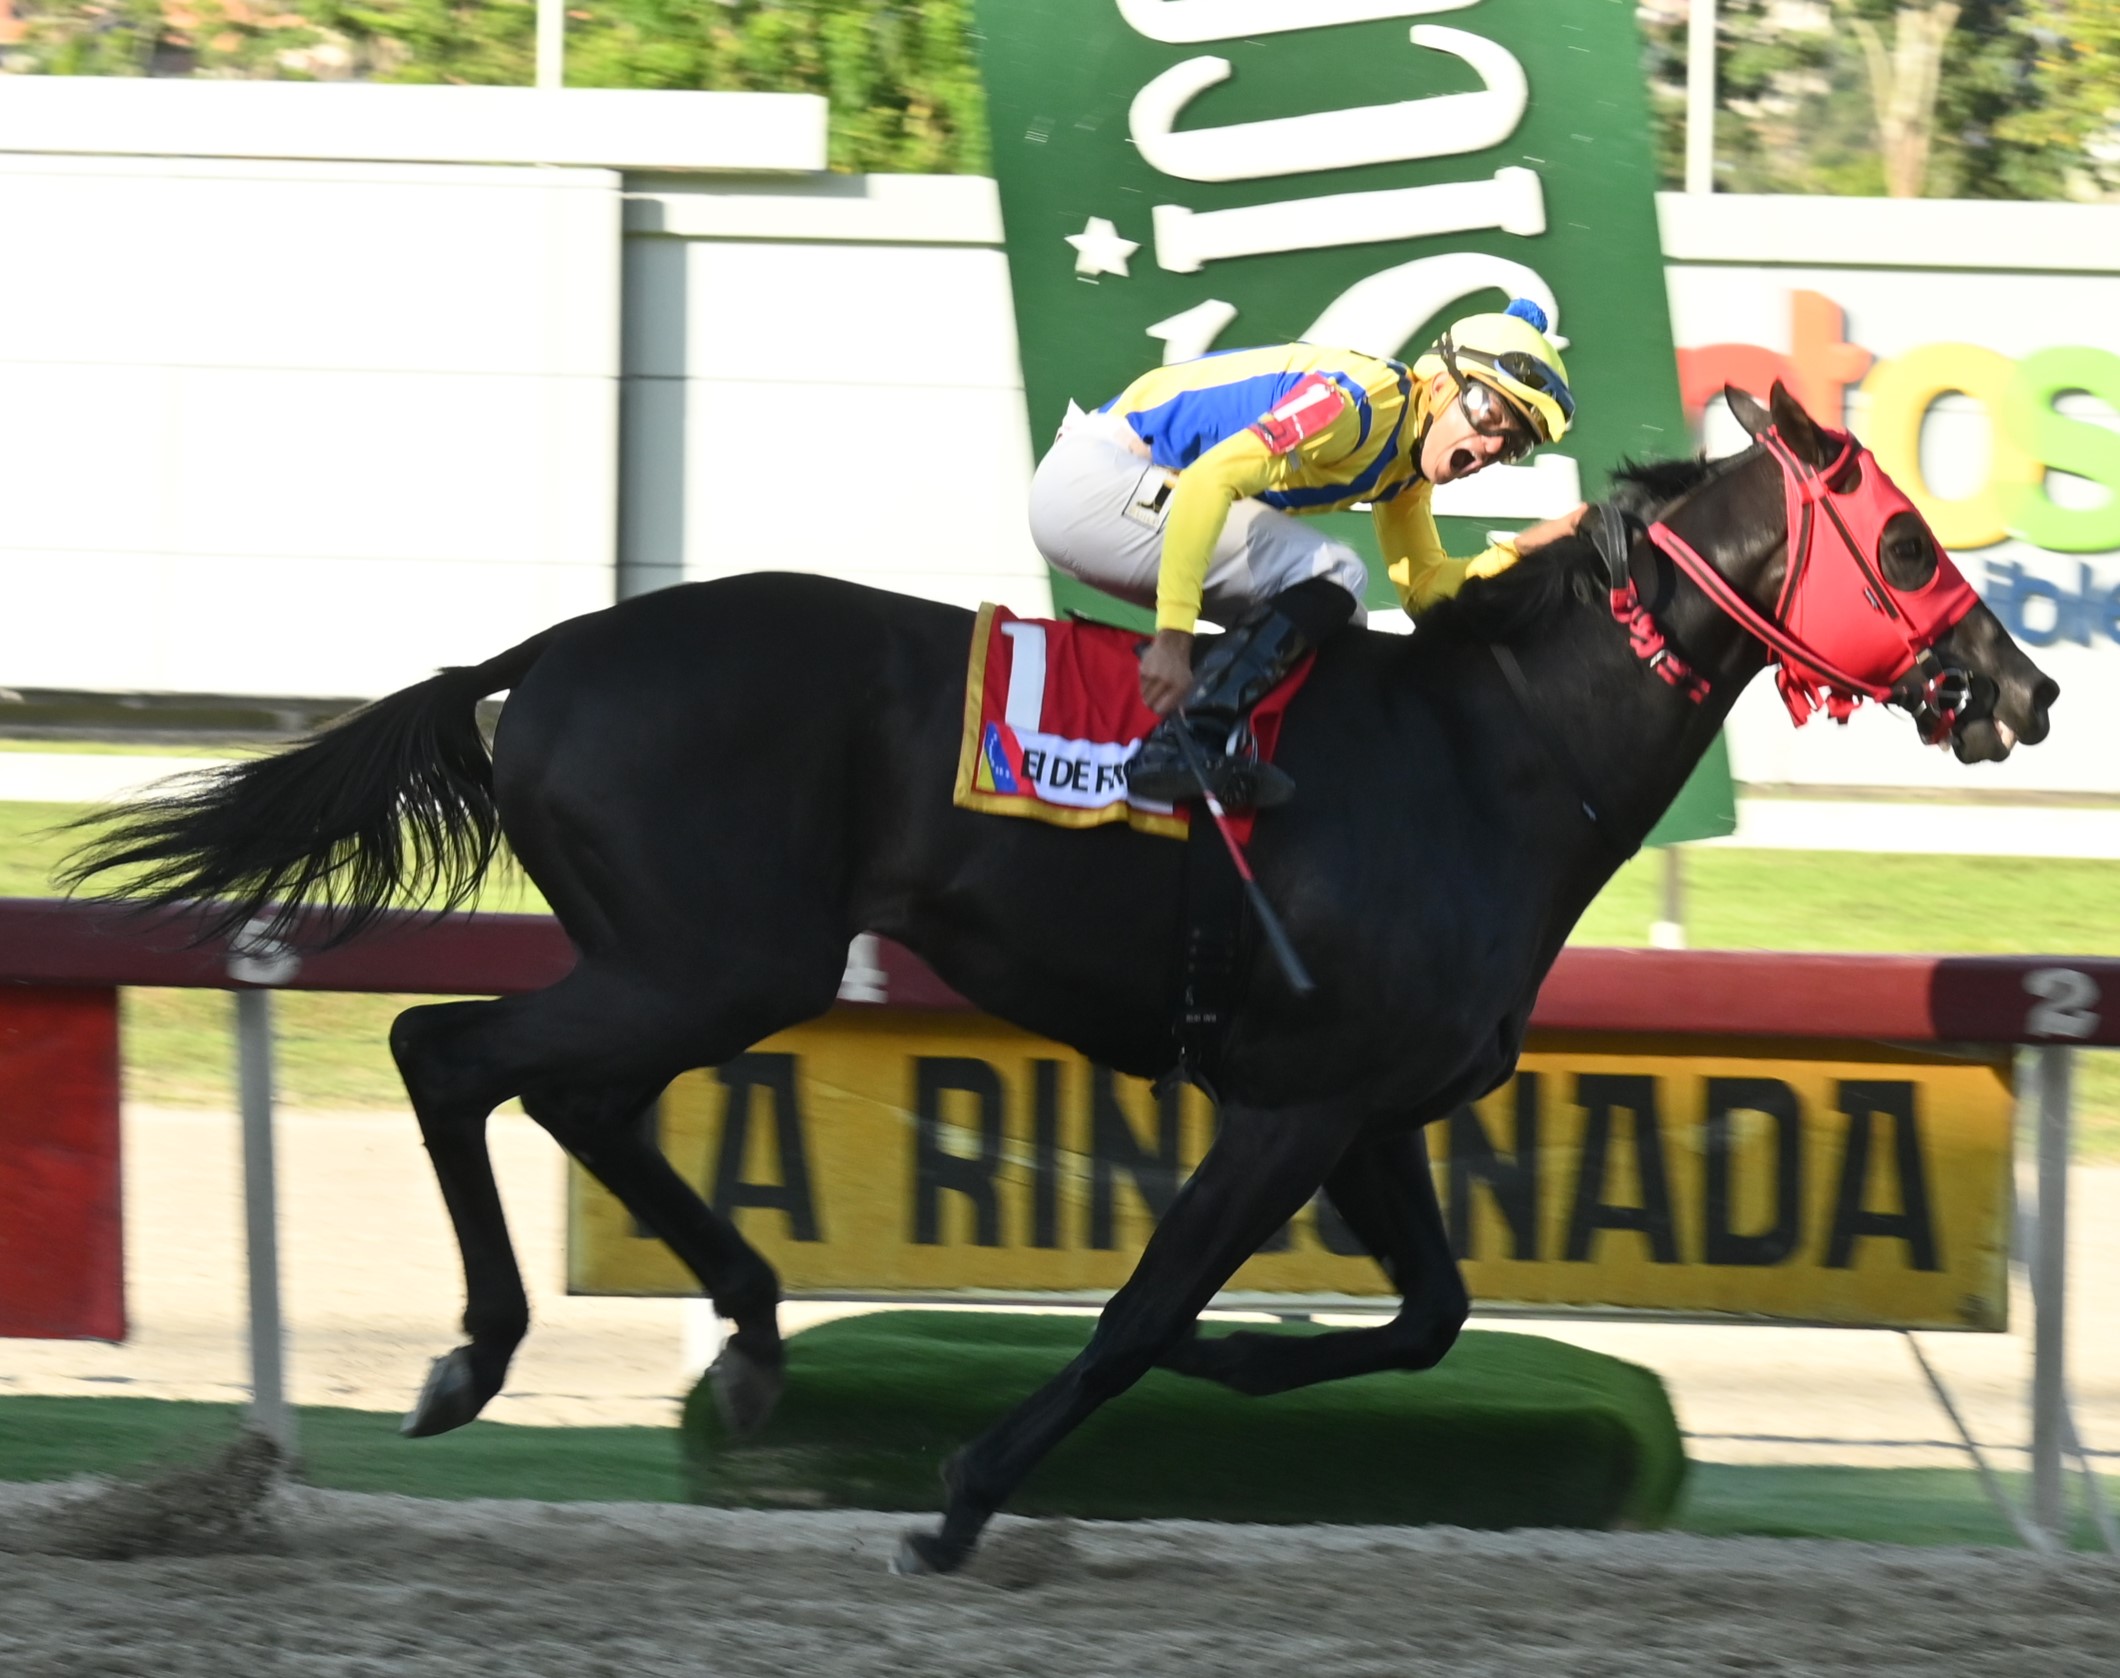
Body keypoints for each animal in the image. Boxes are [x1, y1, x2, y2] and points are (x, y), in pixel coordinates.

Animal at [70, 383, 2052, 1576]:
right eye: (1904, 539)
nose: (2022, 688)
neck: (1491, 753)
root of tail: (557, 645)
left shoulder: (1370, 1106)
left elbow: (1428, 1312)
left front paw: (1256, 1372)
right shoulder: (1291, 1103)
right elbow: (1138, 1312)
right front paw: (957, 1501)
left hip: (692, 958)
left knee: (569, 1090)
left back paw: (752, 1332)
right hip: (717, 952)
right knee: (452, 1047)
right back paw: (478, 1355)